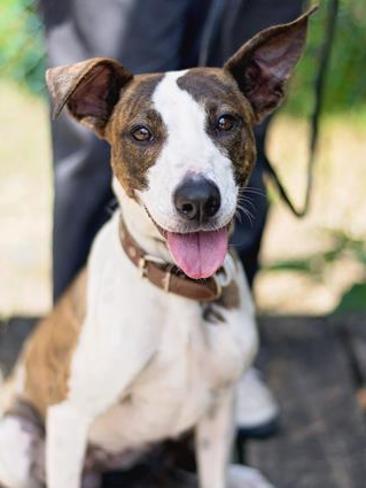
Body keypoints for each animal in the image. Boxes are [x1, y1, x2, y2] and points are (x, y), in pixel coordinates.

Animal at [0, 8, 314, 488]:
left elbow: (214, 475)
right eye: (142, 133)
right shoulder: (69, 419)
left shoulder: (218, 413)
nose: (199, 199)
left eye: (226, 123)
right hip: (16, 438)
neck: (177, 289)